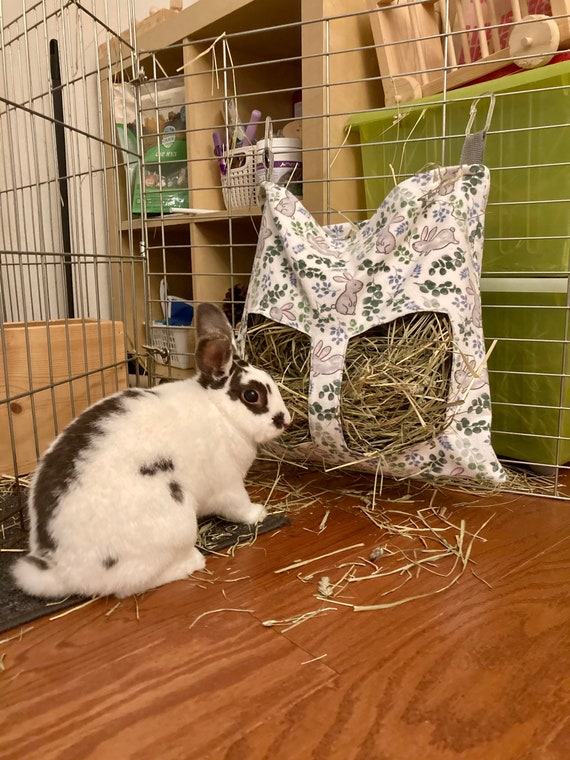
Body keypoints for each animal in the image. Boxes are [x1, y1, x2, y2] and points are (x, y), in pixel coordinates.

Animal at [12, 303, 291, 600]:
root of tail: (62, 571)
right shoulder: (228, 483)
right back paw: (190, 562)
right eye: (252, 396)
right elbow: (238, 505)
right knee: (131, 585)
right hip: (175, 522)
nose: (285, 420)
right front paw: (258, 513)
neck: (220, 411)